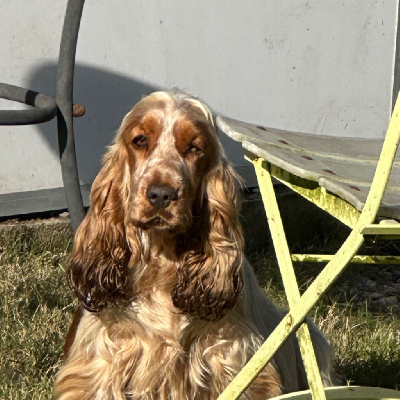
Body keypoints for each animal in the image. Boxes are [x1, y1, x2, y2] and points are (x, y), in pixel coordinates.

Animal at [54, 90, 332, 400]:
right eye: (140, 140)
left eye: (195, 148)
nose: (161, 194)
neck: (163, 261)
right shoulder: (102, 363)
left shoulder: (233, 359)